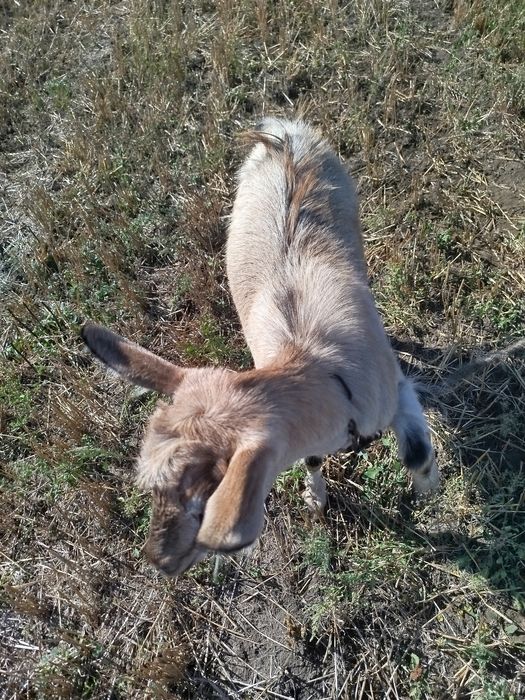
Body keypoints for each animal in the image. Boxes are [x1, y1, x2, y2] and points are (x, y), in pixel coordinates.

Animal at [82, 118, 438, 577]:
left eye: (206, 497)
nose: (157, 561)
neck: (321, 367)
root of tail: (282, 137)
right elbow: (313, 461)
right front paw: (316, 499)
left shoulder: (398, 389)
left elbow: (416, 452)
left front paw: (428, 488)